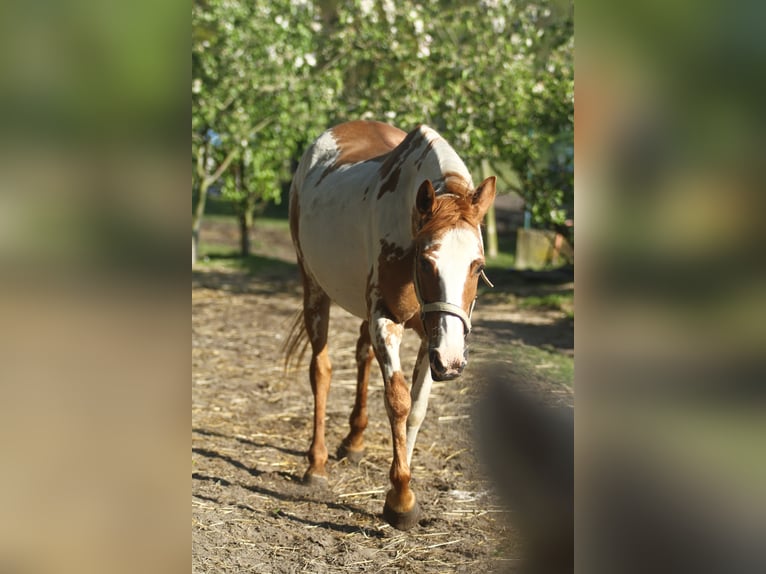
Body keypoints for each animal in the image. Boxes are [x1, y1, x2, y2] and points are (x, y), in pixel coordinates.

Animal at [288, 120, 498, 532]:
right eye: (427, 262)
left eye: (477, 265)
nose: (454, 362)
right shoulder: (387, 319)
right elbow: (398, 400)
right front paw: (400, 500)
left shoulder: (433, 337)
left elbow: (417, 407)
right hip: (314, 288)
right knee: (321, 370)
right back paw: (316, 464)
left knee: (362, 356)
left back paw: (354, 442)